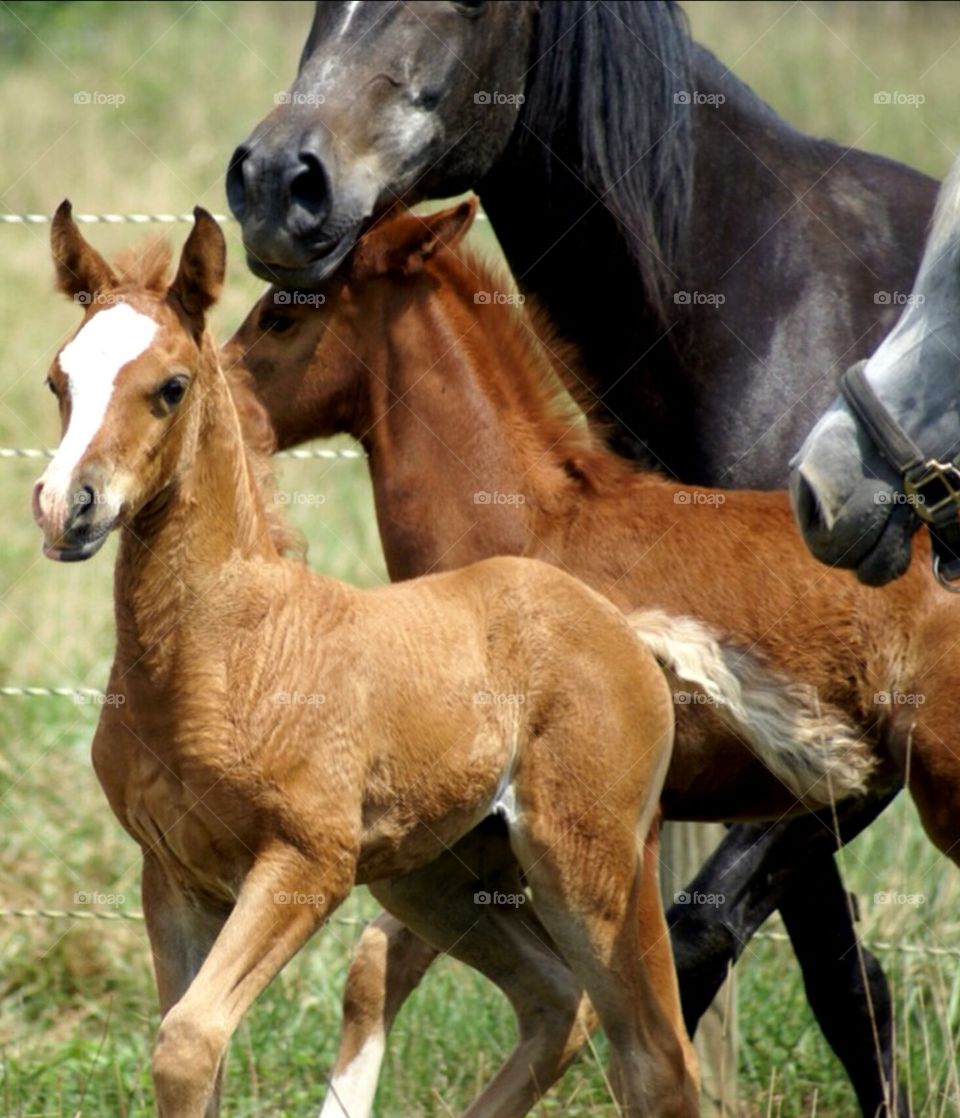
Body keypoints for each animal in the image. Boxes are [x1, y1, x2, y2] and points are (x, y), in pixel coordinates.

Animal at [31, 205, 862, 1113]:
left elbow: (187, 1042)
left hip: (593, 861)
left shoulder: (306, 862)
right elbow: (193, 1050)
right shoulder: (173, 878)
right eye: (58, 380)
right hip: (437, 876)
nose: (66, 507)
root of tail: (623, 623)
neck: (220, 647)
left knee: (655, 1055)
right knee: (556, 1003)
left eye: (171, 387)